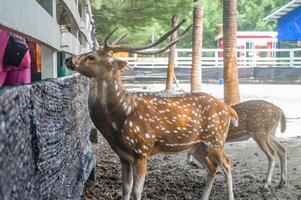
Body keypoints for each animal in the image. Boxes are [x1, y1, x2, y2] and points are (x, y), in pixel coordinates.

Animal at [65, 20, 237, 200]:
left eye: (91, 57)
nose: (69, 59)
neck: (119, 119)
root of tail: (228, 109)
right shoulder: (123, 155)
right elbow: (125, 188)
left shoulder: (142, 150)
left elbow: (136, 190)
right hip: (197, 146)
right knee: (212, 167)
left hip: (215, 139)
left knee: (227, 163)